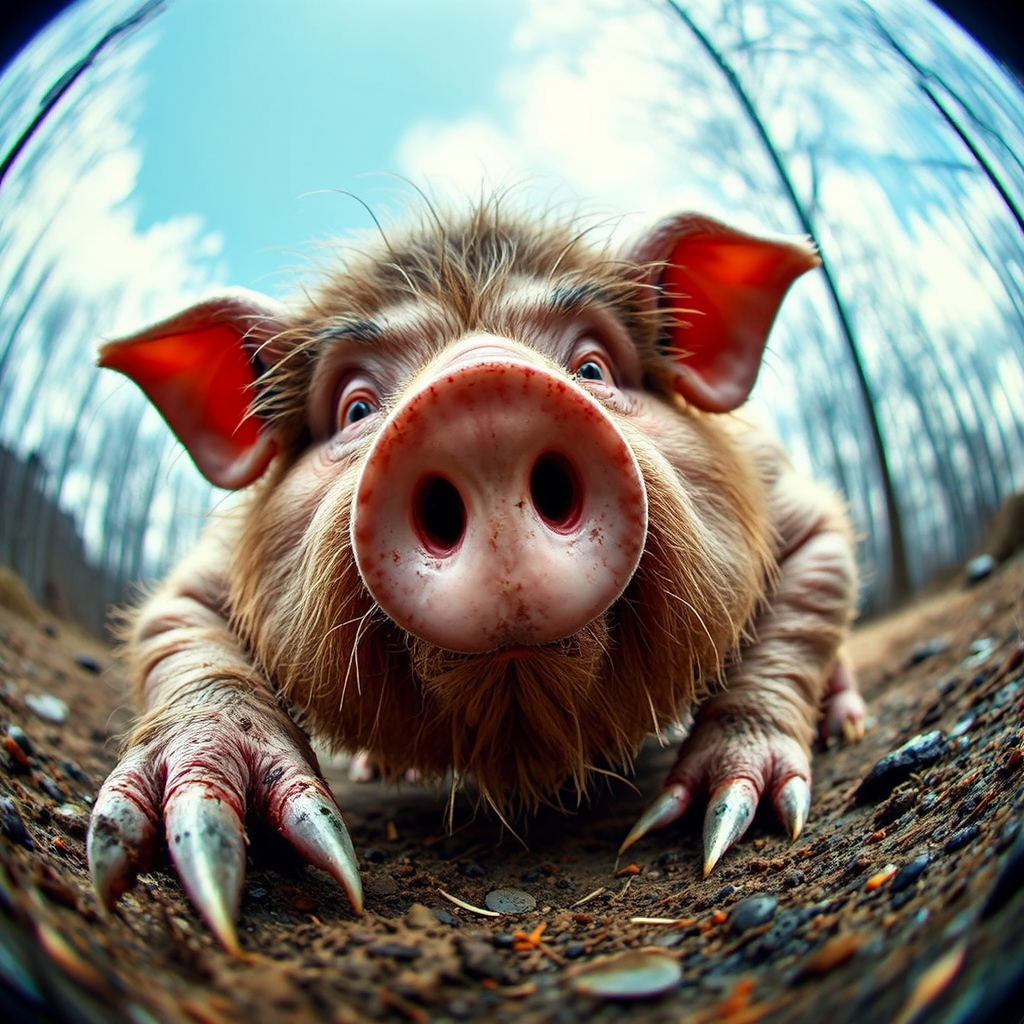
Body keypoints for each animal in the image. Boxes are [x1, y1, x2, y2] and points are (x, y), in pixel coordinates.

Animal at [87, 199, 865, 952]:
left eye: (593, 369)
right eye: (356, 407)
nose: (483, 395)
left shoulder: (801, 515)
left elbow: (794, 628)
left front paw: (721, 820)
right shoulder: (198, 581)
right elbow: (182, 637)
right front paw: (196, 853)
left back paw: (847, 728)